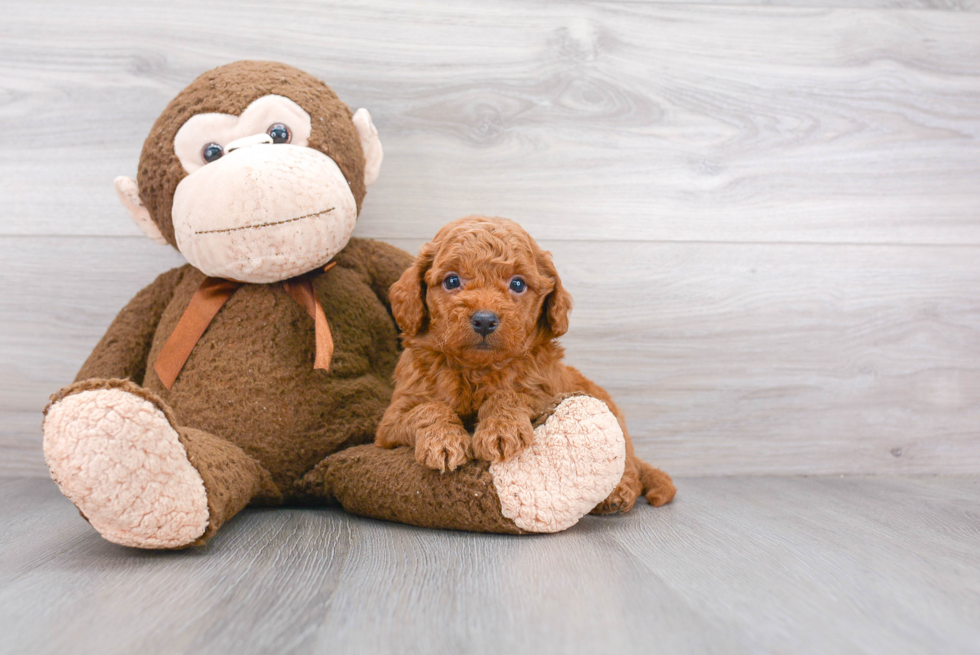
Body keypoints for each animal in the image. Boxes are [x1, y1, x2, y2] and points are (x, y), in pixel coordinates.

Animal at [376, 215, 672, 512]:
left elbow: (511, 395)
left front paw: (500, 430)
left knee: (629, 467)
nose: (484, 320)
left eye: (517, 284)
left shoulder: (546, 393)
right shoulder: (389, 425)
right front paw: (443, 441)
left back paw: (618, 493)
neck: (477, 368)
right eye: (451, 280)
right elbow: (426, 408)